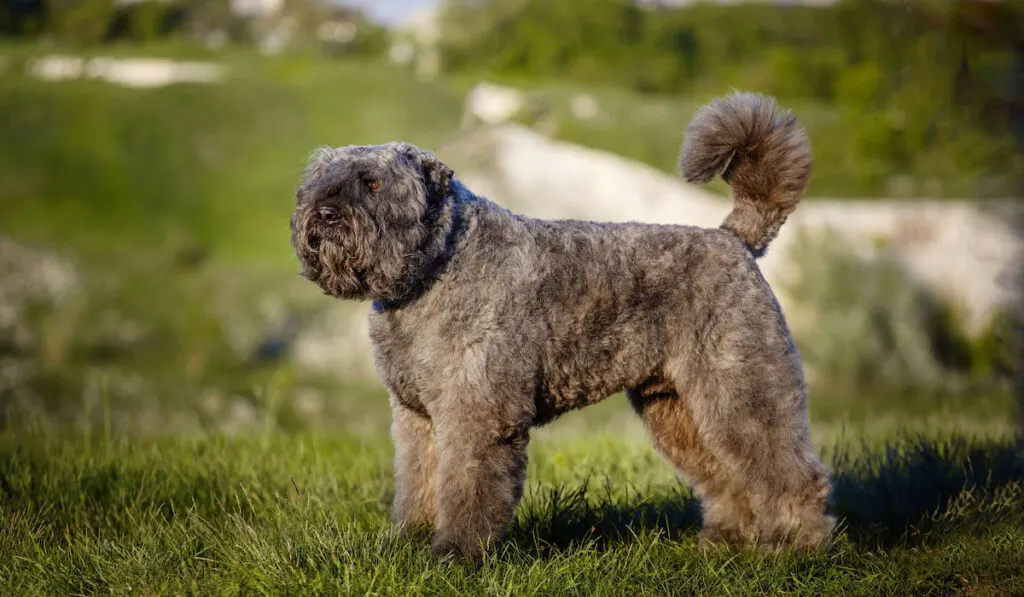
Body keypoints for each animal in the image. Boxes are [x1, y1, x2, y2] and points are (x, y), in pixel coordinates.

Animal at [292, 92, 835, 561]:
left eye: (373, 183)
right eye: (320, 180)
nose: (324, 214)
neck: (434, 267)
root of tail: (735, 240)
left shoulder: (477, 415)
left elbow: (466, 488)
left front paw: (455, 554)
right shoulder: (416, 416)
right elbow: (419, 483)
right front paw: (409, 541)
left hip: (741, 388)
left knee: (791, 472)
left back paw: (795, 547)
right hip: (677, 407)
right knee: (726, 479)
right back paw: (725, 542)